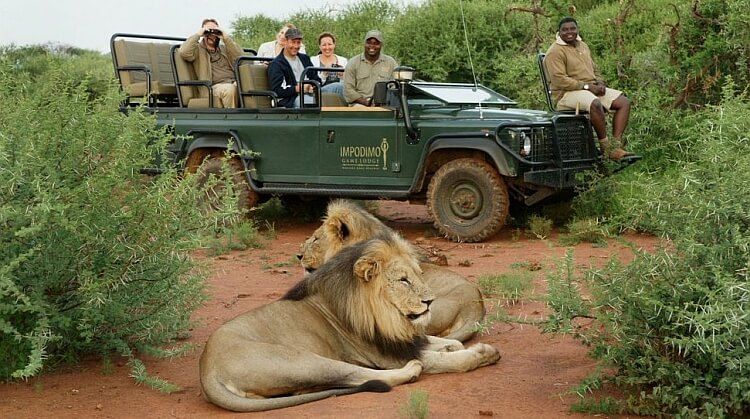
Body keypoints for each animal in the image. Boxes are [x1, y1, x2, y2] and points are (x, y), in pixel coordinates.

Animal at [203, 235, 502, 412]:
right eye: (403, 280)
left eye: (419, 274)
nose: (430, 301)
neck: (387, 316)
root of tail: (207, 370)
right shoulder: (387, 355)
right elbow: (446, 360)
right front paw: (481, 354)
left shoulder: (403, 339)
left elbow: (441, 341)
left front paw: (451, 346)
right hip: (301, 360)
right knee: (360, 375)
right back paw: (412, 370)